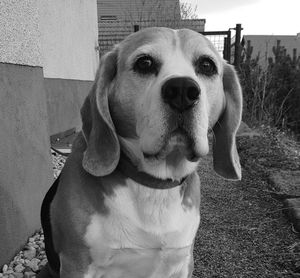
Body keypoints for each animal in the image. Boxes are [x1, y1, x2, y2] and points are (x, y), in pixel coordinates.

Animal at [40, 26, 241, 278]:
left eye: (207, 65)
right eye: (144, 63)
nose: (182, 90)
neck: (154, 184)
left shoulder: (182, 262)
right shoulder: (77, 265)